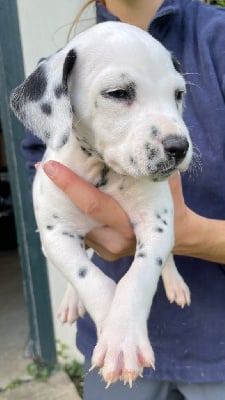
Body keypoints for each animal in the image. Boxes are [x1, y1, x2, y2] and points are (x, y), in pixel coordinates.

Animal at [10, 21, 192, 388]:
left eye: (178, 95)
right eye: (118, 93)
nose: (179, 147)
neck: (103, 172)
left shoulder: (157, 224)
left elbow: (138, 276)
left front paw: (122, 338)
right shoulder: (55, 235)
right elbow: (88, 277)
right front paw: (114, 331)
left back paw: (175, 282)